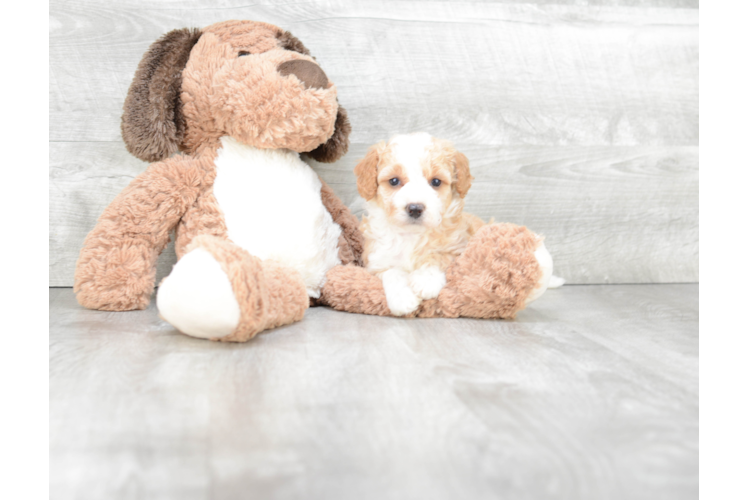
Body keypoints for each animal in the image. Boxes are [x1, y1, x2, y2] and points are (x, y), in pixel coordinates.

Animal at [356, 131, 488, 314]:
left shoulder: (459, 249)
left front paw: (426, 280)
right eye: (394, 181)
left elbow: (439, 256)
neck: (411, 234)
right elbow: (392, 271)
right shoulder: (375, 260)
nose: (415, 208)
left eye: (436, 182)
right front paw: (402, 298)